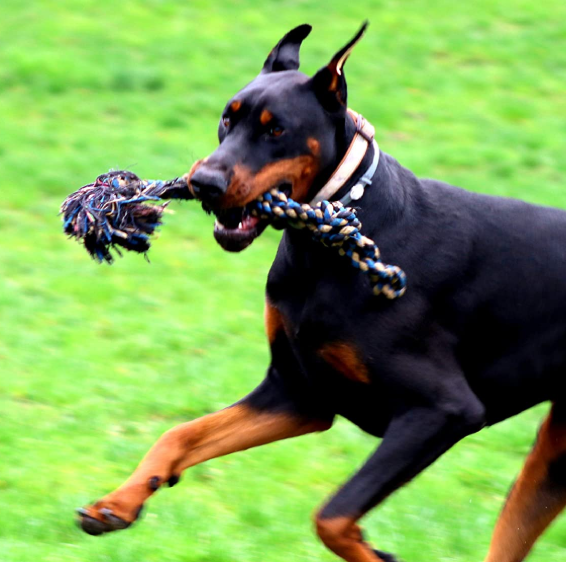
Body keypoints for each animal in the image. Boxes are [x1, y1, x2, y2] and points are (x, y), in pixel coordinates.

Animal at [77, 23, 564, 560]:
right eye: (226, 119)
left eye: (276, 130)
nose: (202, 182)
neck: (325, 247)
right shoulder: (297, 393)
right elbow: (178, 434)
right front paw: (117, 504)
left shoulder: (443, 409)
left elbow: (330, 516)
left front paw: (376, 552)